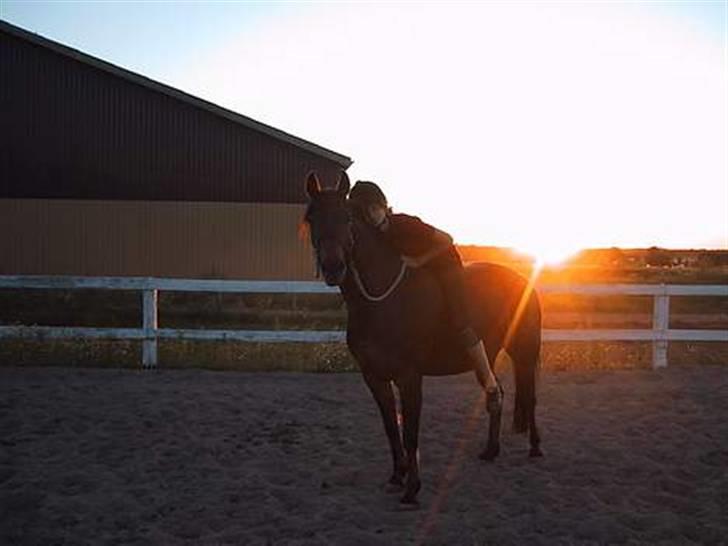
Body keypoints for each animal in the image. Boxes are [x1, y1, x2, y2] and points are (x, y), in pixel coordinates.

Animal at [302, 170, 540, 502]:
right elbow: (392, 428)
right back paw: (491, 450)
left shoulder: (409, 377)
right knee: (498, 393)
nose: (334, 267)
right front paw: (396, 477)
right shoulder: (374, 377)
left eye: (347, 217)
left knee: (530, 397)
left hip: (524, 352)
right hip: (491, 354)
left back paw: (535, 448)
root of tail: (522, 277)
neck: (382, 300)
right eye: (311, 217)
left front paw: (412, 489)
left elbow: (411, 432)